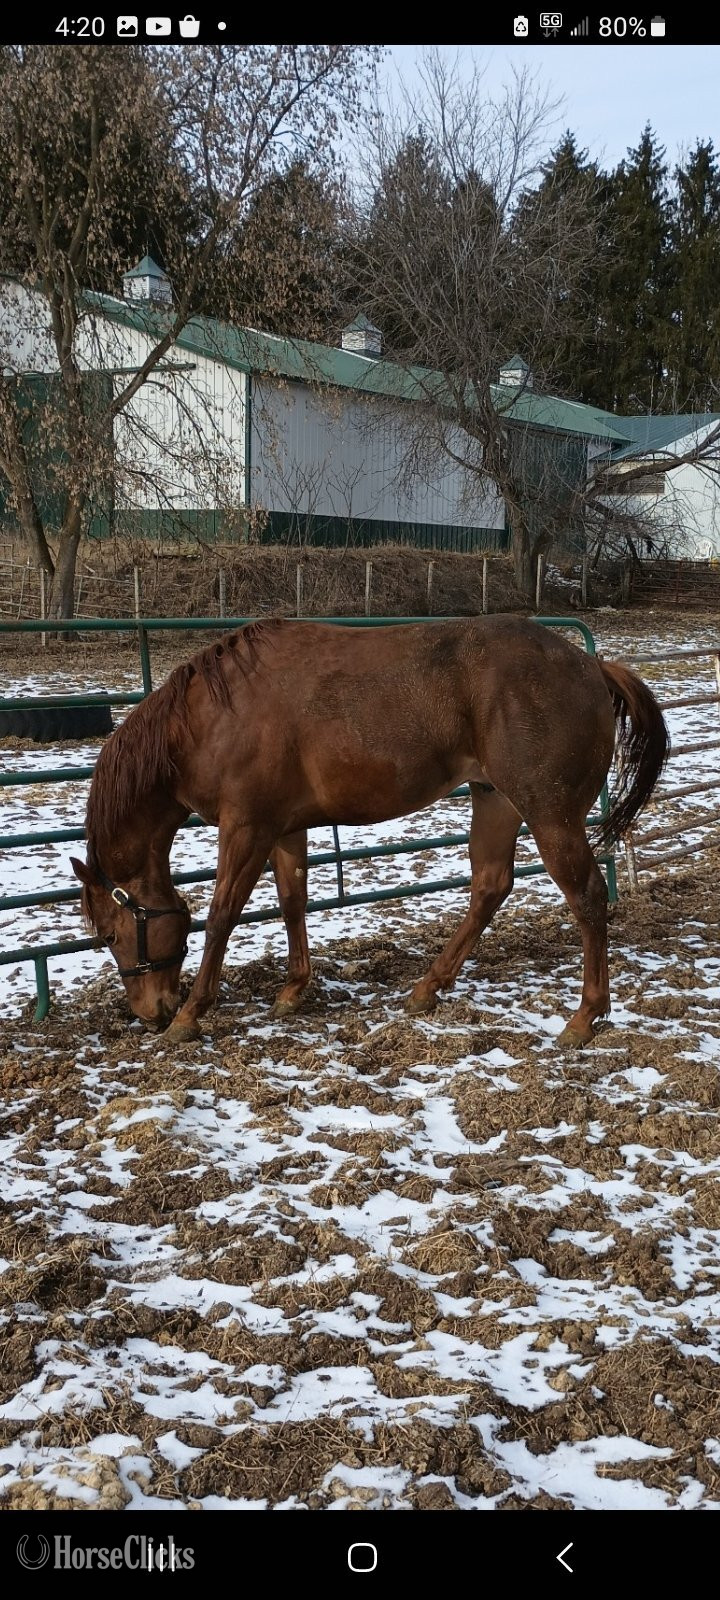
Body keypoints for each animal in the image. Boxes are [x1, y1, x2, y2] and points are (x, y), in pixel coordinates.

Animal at [71, 615, 668, 1048]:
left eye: (110, 936)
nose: (149, 1012)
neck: (210, 720)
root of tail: (591, 667)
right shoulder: (282, 829)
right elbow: (292, 902)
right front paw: (293, 990)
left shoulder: (245, 827)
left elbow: (221, 918)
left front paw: (191, 1015)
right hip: (495, 800)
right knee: (490, 885)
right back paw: (428, 988)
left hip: (550, 816)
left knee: (587, 897)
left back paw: (585, 1018)